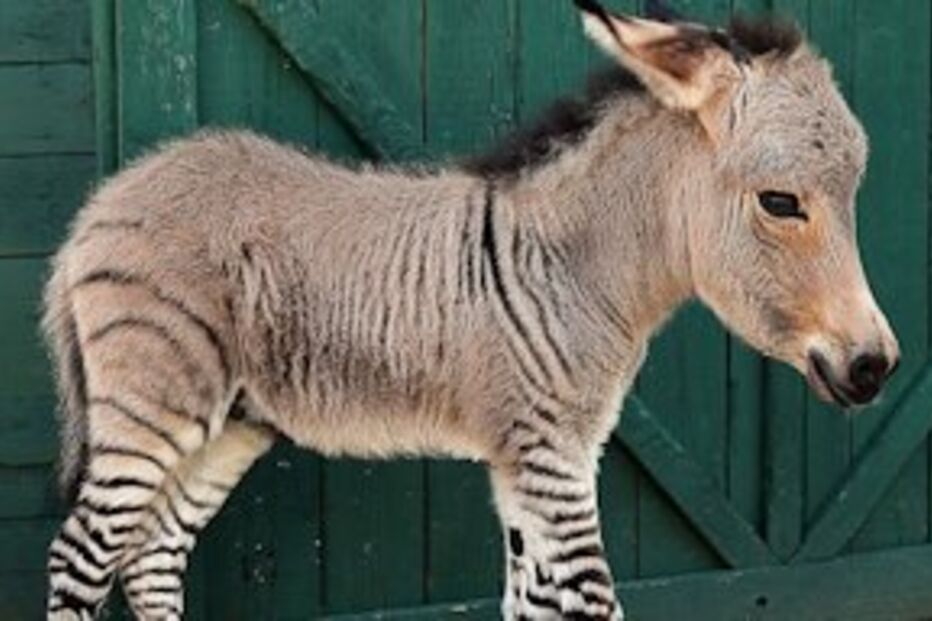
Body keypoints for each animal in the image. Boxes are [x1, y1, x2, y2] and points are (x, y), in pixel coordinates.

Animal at [43, 1, 898, 619]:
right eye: (780, 203)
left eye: (856, 192)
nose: (876, 367)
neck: (574, 268)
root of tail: (103, 203)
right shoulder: (551, 455)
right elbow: (593, 603)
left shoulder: (536, 458)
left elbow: (533, 604)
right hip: (154, 404)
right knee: (81, 559)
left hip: (229, 422)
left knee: (151, 557)